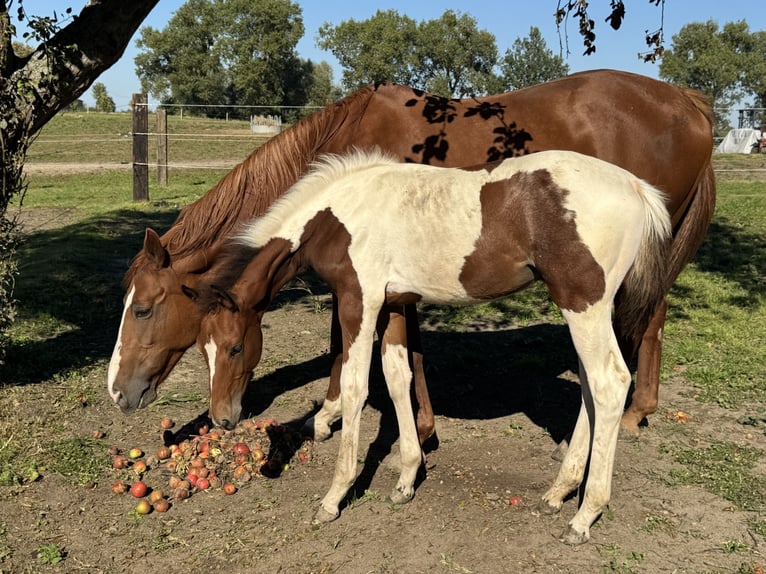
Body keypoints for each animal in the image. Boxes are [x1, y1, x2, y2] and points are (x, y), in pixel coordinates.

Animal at [107, 69, 714, 440]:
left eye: (144, 308)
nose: (118, 392)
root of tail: (687, 101)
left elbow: (353, 340)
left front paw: (349, 417)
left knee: (651, 320)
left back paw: (634, 413)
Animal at [191, 149, 672, 544]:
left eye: (235, 348)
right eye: (203, 349)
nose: (222, 419)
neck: (334, 217)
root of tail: (635, 186)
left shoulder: (359, 301)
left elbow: (355, 388)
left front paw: (334, 496)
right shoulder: (393, 306)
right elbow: (397, 379)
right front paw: (406, 479)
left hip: (583, 304)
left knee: (610, 382)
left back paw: (585, 515)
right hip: (587, 310)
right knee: (592, 388)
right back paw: (560, 491)